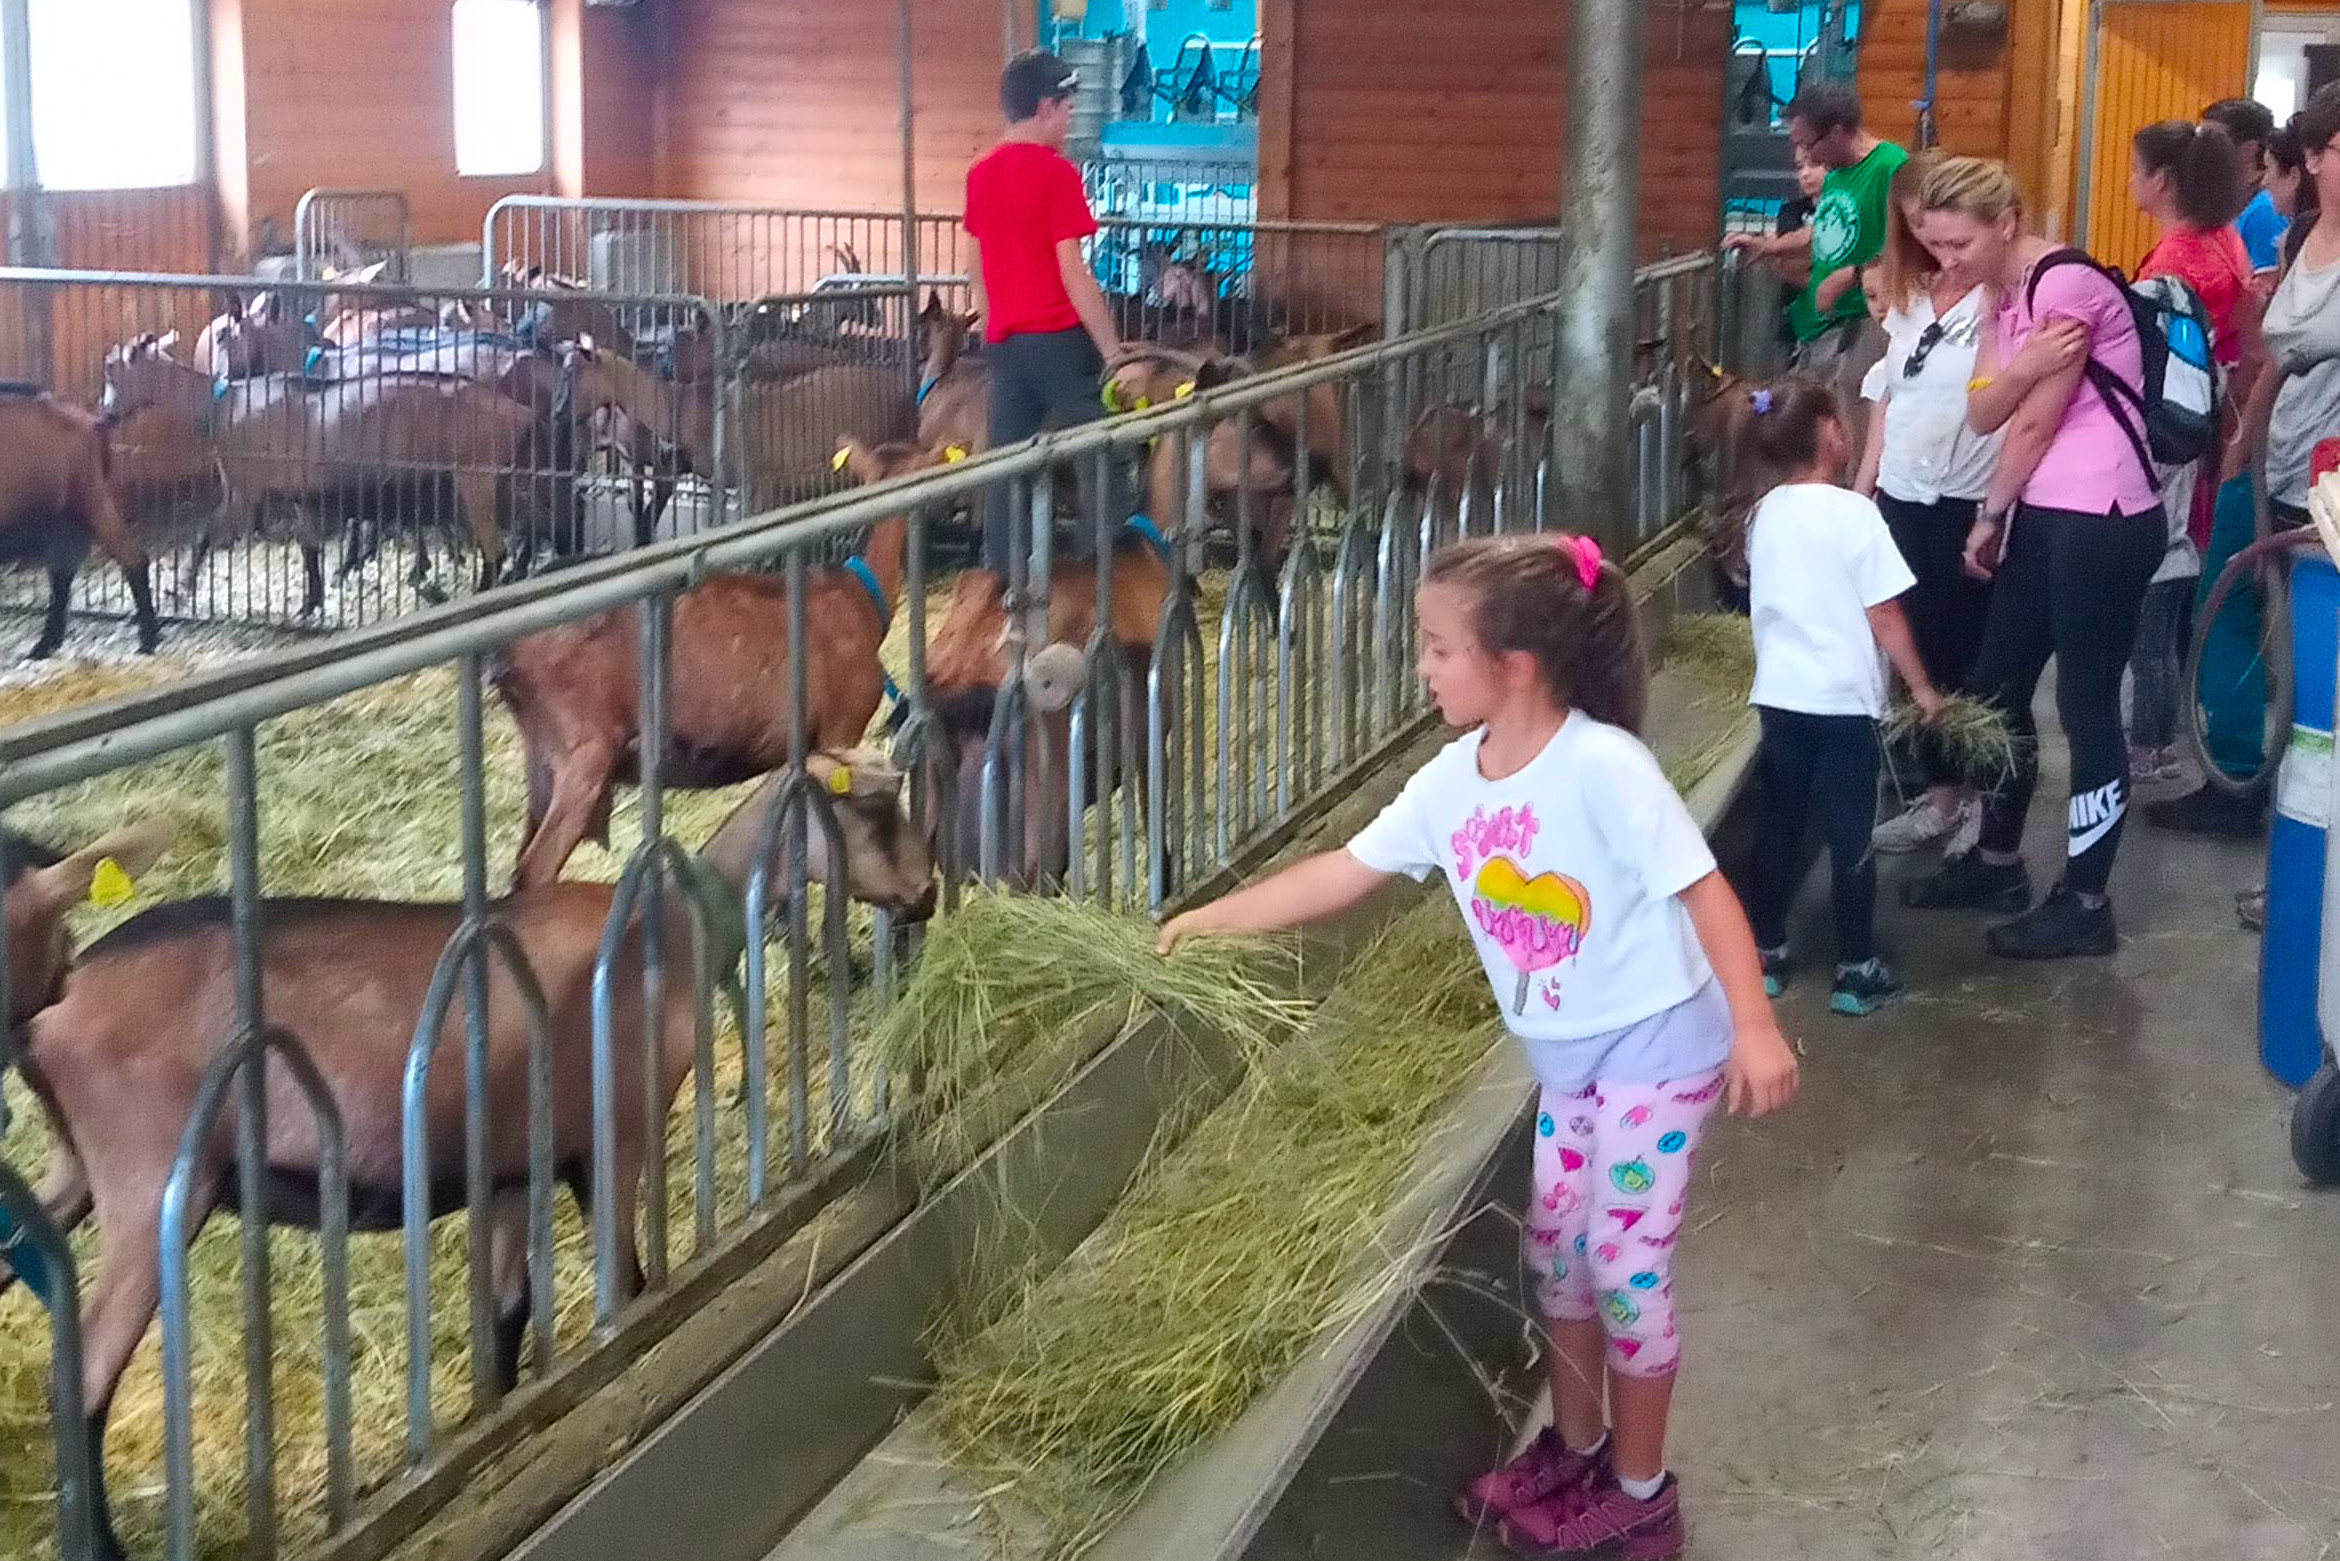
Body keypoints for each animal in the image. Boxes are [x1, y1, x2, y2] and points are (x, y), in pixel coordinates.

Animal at [0, 393, 162, 664]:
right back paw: (46, 645)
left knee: (133, 558)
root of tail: (94, 423)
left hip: (90, 501)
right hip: (67, 517)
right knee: (63, 572)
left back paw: (149, 641)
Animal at [6, 762, 940, 1561]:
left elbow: (504, 1315)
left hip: (74, 1172)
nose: (927, 890)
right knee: (81, 1381)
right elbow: (629, 1282)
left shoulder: (513, 1169)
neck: (670, 928)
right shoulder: (616, 1138)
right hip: (150, 1185)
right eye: (873, 807)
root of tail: (53, 1014)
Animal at [493, 439, 940, 889]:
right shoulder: (842, 726)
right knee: (535, 867)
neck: (860, 598)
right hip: (584, 751)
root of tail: (508, 654)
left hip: (542, 759)